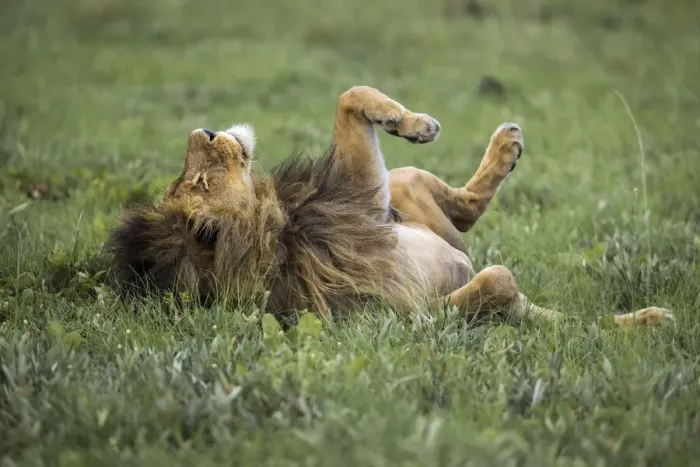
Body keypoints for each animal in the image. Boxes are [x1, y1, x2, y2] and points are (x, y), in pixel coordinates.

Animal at [107, 86, 674, 328]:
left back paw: (504, 145)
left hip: (405, 189)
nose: (201, 130)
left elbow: (350, 95)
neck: (281, 226)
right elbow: (499, 284)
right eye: (201, 181)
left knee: (458, 206)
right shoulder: (408, 319)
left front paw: (412, 122)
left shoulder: (364, 198)